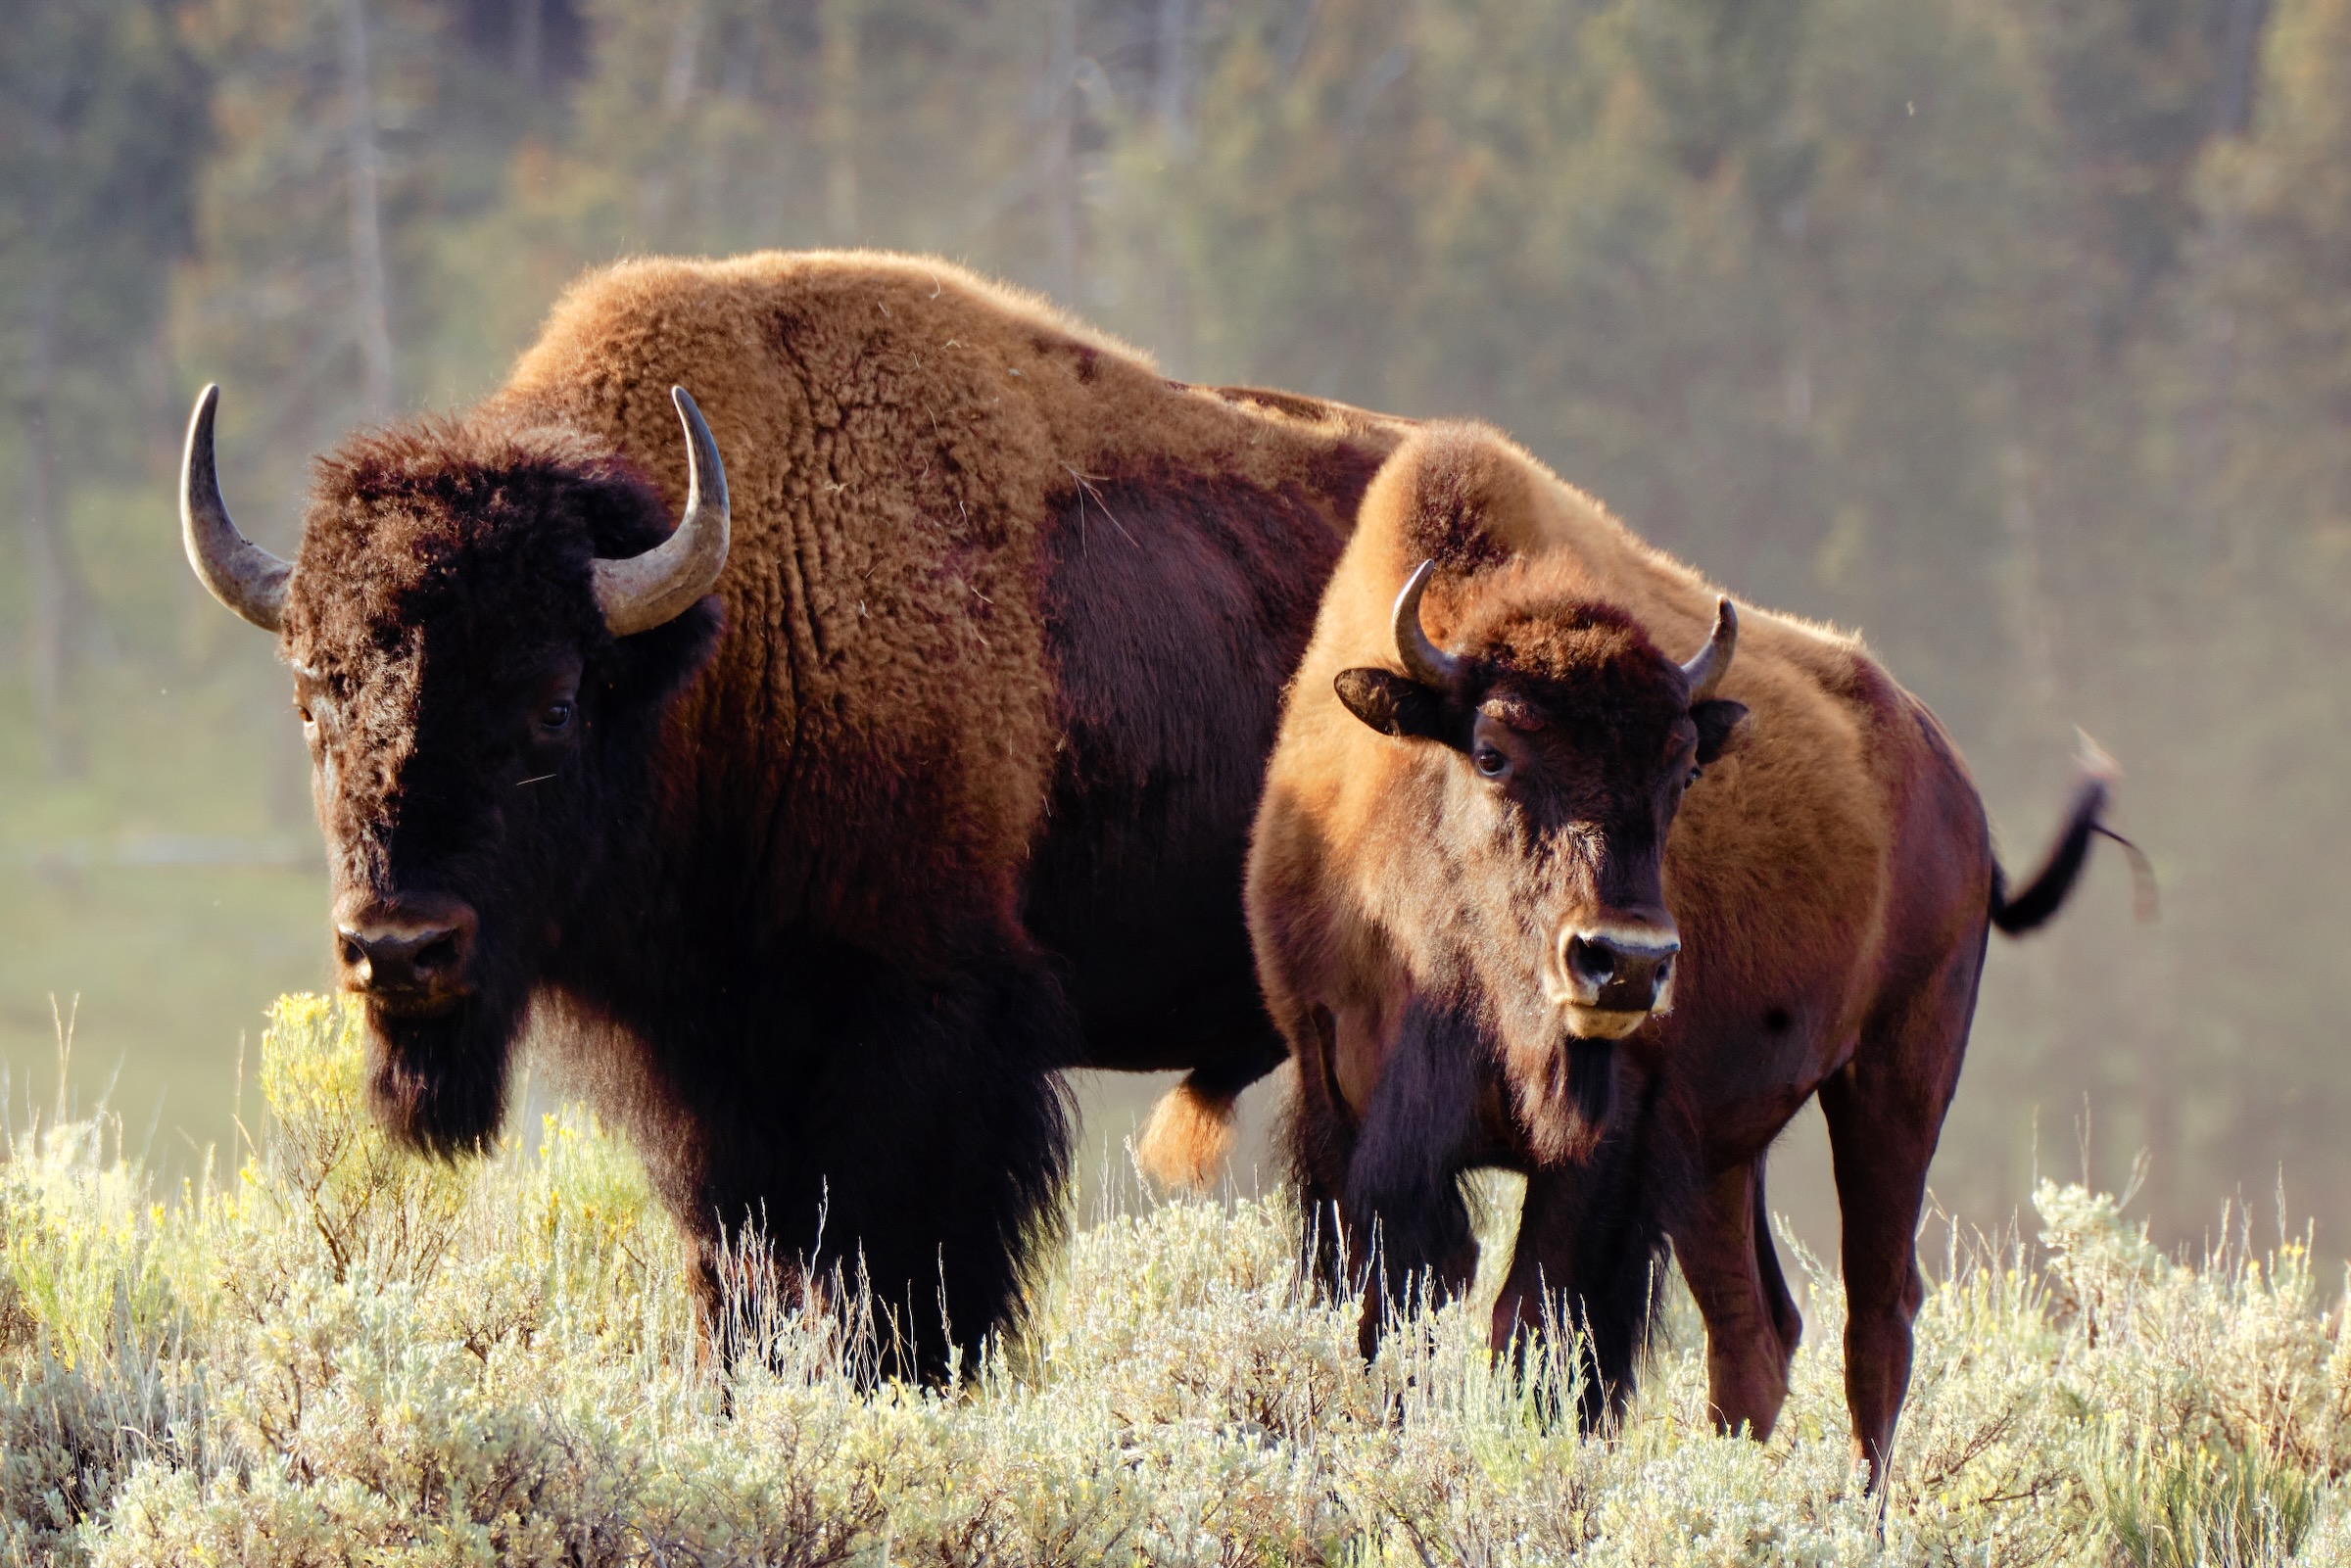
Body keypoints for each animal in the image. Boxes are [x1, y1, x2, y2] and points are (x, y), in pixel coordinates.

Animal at [178, 251, 1407, 1376]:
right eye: (312, 697)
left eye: (555, 703)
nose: (400, 947)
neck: (731, 631)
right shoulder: (707, 1078)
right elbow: (743, 1274)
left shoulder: (927, 1035)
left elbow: (907, 1286)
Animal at [1245, 422, 2117, 1485]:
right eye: (1492, 752)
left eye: (1682, 769)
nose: (1625, 961)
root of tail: (1956, 789)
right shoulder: (1345, 1114)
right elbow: (1386, 1322)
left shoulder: (1608, 1142)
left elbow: (1539, 1333)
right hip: (1722, 1154)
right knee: (1757, 1329)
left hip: (1899, 1073)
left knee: (1878, 1314)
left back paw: (1858, 1503)